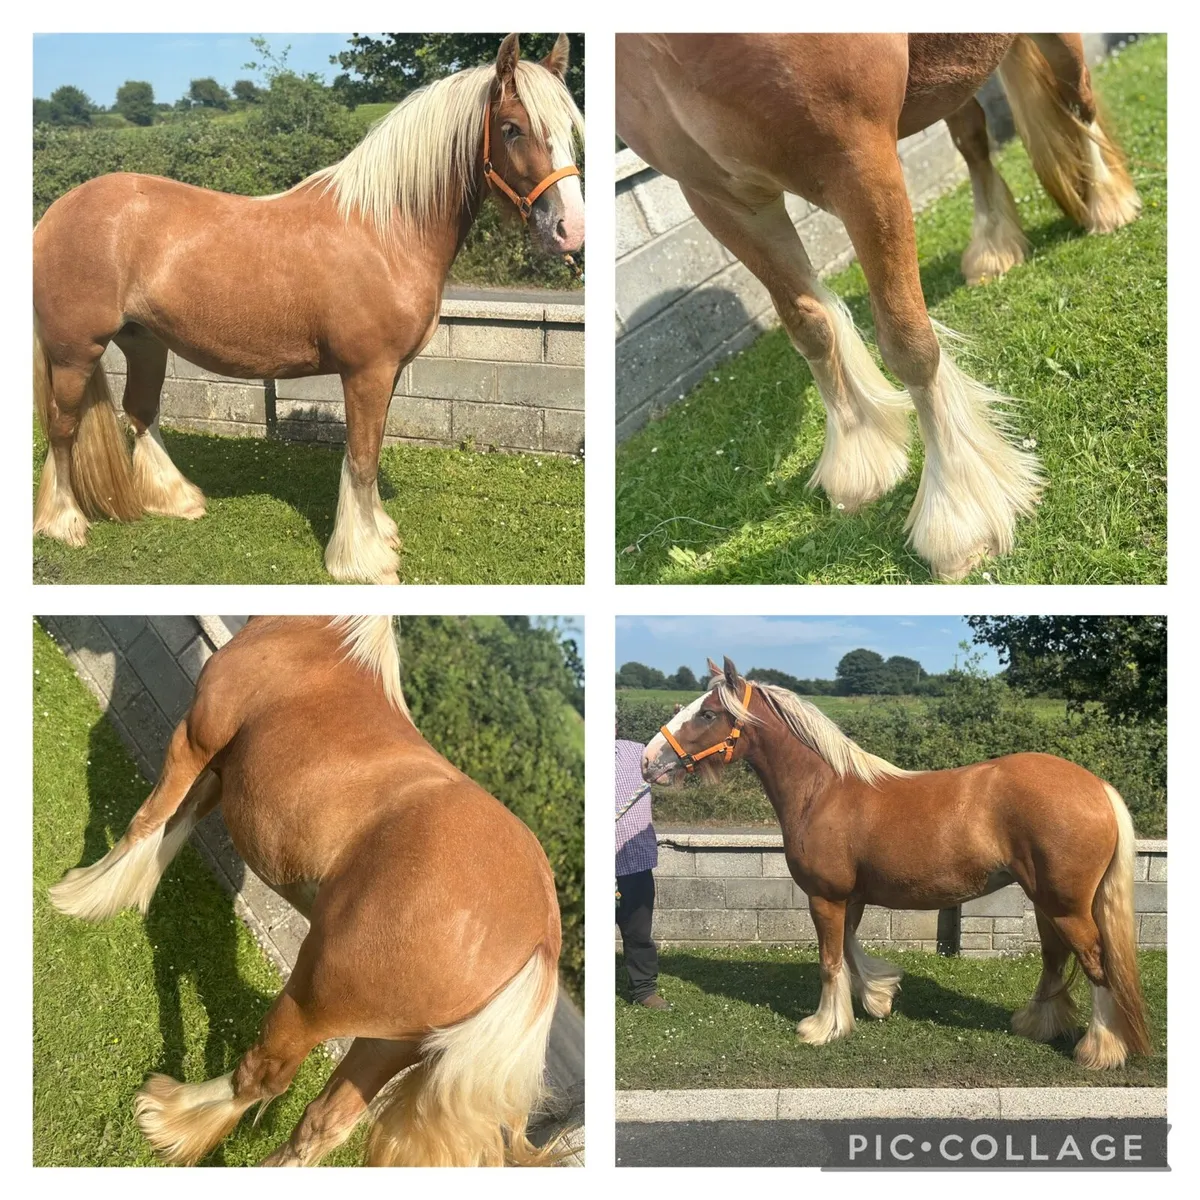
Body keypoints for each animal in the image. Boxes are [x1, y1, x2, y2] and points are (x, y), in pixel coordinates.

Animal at [33, 33, 584, 584]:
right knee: (62, 427)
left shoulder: (385, 373)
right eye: (512, 128)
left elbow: (370, 453)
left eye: (569, 127)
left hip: (145, 342)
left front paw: (380, 532)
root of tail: (56, 212)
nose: (570, 230)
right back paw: (65, 522)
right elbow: (361, 458)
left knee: (140, 411)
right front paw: (363, 559)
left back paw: (176, 499)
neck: (386, 231)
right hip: (75, 352)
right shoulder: (366, 372)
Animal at [48, 616, 564, 1165]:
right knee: (323, 1124)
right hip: (387, 1045)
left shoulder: (194, 741)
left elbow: (147, 820)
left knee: (263, 1078)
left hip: (311, 1001)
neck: (319, 636)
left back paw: (169, 1115)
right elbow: (174, 828)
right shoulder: (222, 770)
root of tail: (541, 941)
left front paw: (79, 895)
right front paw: (118, 893)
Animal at [616, 34, 1140, 580]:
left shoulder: (861, 163)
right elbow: (810, 327)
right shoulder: (721, 198)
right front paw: (857, 458)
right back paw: (994, 247)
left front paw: (957, 514)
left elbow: (909, 345)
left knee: (1076, 102)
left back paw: (1107, 205)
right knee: (973, 136)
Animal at [642, 658, 1151, 1070]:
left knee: (1096, 963)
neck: (824, 790)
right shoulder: (851, 898)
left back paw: (1100, 1049)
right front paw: (877, 998)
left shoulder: (825, 897)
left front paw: (822, 1027)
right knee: (1055, 958)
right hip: (1047, 903)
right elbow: (849, 951)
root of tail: (1097, 787)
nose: (648, 761)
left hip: (1065, 905)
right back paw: (1037, 1024)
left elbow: (830, 960)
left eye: (707, 714)